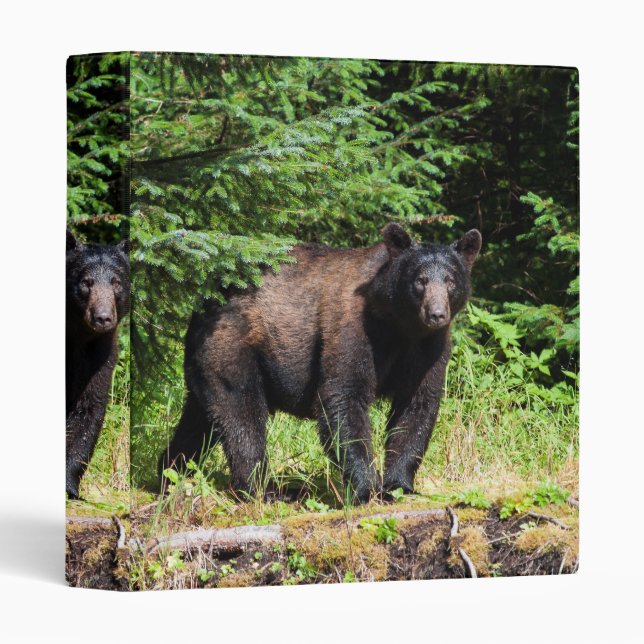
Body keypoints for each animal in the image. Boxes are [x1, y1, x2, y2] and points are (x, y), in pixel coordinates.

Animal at [160, 223, 481, 503]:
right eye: (420, 280)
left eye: (451, 280)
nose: (436, 313)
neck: (400, 327)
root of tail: (204, 303)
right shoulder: (354, 329)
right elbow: (343, 397)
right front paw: (366, 489)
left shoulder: (429, 349)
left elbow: (416, 406)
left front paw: (397, 485)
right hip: (232, 347)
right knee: (242, 414)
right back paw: (267, 489)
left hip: (205, 364)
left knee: (200, 419)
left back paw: (170, 472)